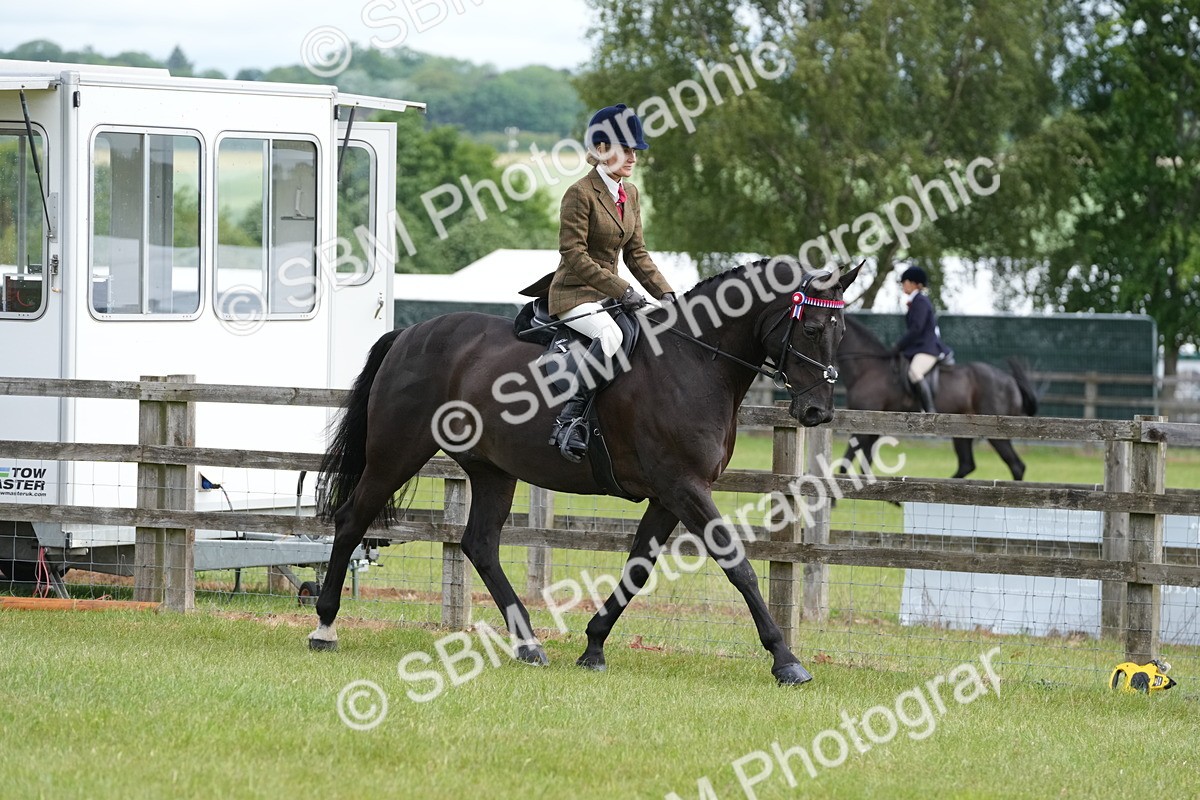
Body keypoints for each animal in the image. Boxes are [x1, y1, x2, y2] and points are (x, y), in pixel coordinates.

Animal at [309, 258, 862, 686]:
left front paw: (593, 646)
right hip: (396, 453)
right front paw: (786, 659)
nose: (818, 413)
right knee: (352, 519)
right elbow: (738, 565)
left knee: (480, 544)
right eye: (812, 329)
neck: (694, 362)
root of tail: (410, 333)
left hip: (492, 469)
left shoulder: (669, 494)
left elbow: (638, 567)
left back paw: (529, 644)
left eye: (840, 332)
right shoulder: (684, 487)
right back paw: (325, 626)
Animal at [836, 315, 1038, 480]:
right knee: (967, 465)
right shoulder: (872, 426)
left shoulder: (861, 425)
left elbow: (847, 460)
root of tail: (1010, 380)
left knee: (1016, 466)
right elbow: (864, 464)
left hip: (997, 433)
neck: (867, 368)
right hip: (963, 432)